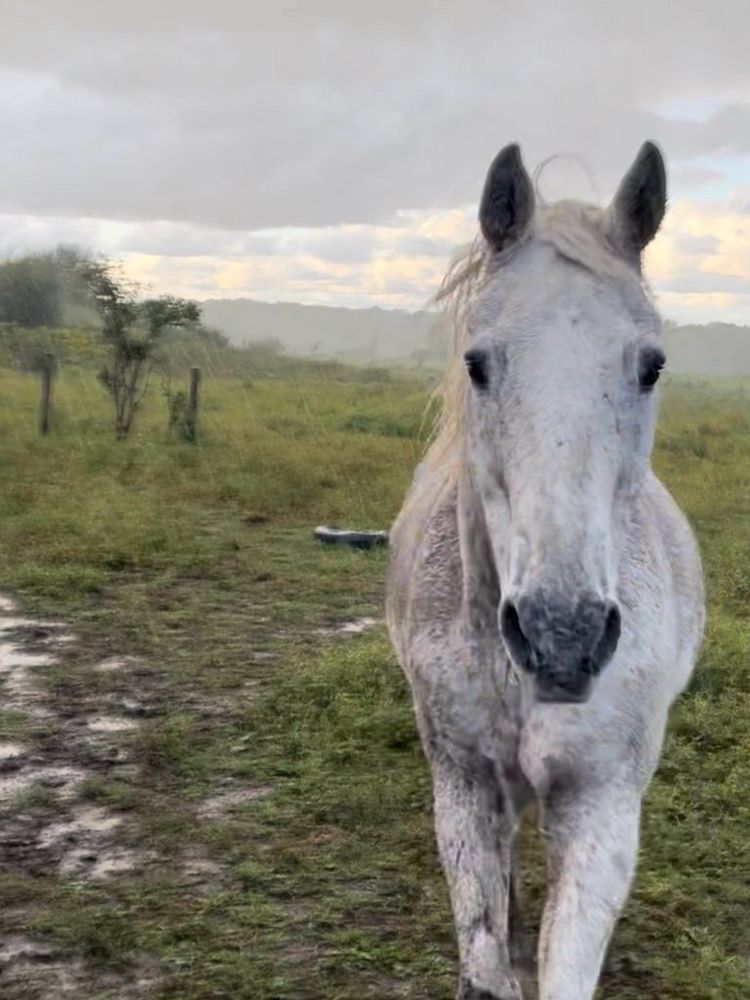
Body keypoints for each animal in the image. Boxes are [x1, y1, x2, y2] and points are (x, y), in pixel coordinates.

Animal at [386, 141, 705, 1000]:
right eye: (477, 363)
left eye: (652, 367)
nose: (563, 637)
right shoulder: (462, 789)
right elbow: (485, 964)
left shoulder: (600, 807)